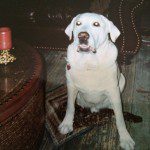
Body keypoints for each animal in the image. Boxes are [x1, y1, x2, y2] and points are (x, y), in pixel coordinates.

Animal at [58, 12, 135, 150]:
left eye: (96, 24)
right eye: (78, 23)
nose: (82, 36)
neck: (89, 63)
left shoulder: (113, 90)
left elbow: (120, 117)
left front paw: (125, 138)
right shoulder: (71, 86)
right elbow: (70, 107)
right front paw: (66, 124)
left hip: (122, 80)